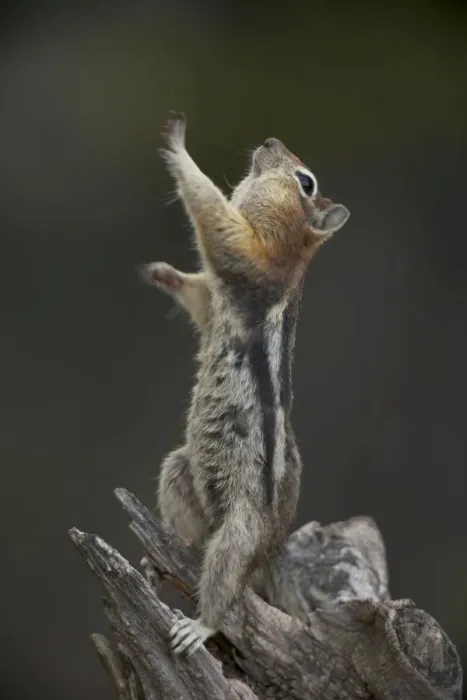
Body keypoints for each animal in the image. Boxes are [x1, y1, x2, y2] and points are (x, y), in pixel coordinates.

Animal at [140, 112, 349, 656]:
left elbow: (215, 220)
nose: (271, 140)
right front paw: (161, 272)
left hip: (242, 529)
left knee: (226, 582)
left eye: (306, 182)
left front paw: (177, 146)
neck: (295, 256)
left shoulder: (252, 257)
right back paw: (160, 557)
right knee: (193, 536)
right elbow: (197, 294)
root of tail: (271, 549)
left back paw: (199, 626)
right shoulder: (214, 299)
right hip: (180, 472)